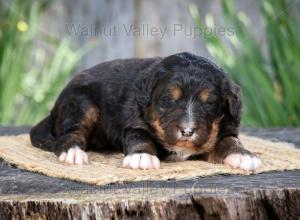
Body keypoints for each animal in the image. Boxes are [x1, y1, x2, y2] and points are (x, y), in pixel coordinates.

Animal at [29, 52, 262, 171]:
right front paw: (142, 157)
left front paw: (243, 155)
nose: (187, 131)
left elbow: (230, 141)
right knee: (70, 133)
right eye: (168, 99)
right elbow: (141, 137)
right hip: (81, 104)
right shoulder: (135, 123)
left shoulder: (225, 129)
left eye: (209, 102)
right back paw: (74, 153)